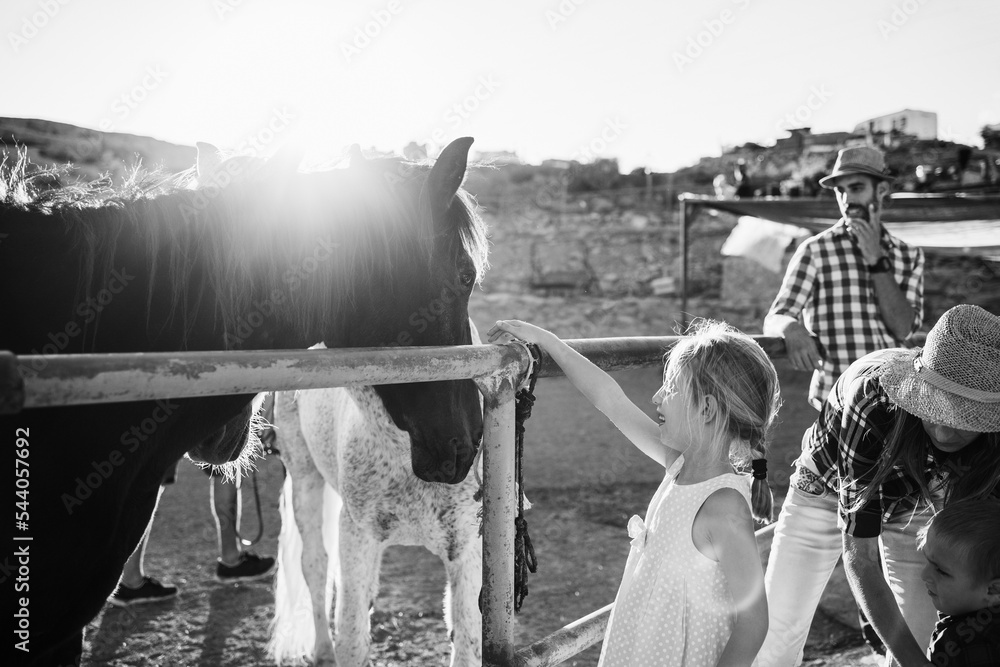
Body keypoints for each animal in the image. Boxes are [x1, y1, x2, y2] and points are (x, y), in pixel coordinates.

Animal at [268, 331, 485, 667]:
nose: (455, 453)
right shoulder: (357, 536)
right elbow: (352, 639)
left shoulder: (466, 548)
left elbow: (466, 643)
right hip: (304, 477)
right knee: (315, 566)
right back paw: (322, 650)